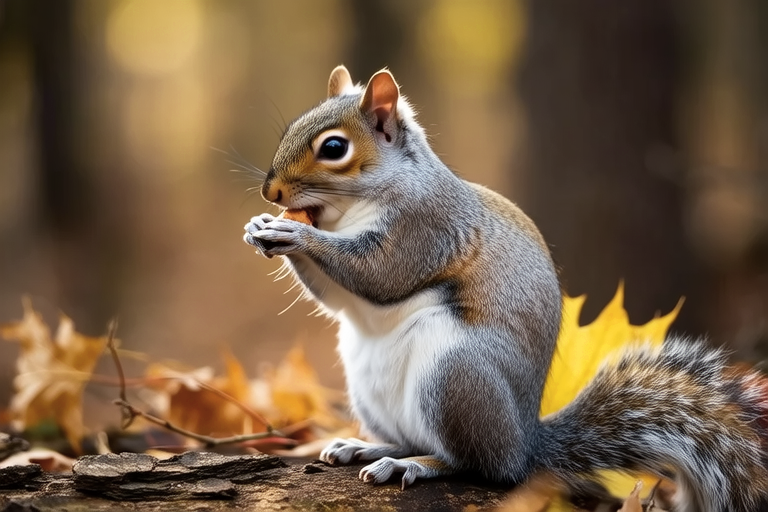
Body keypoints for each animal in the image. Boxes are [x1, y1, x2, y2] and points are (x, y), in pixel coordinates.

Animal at [243, 65, 768, 512]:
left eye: (334, 148)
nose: (271, 193)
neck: (353, 207)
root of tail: (523, 444)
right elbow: (336, 298)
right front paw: (260, 227)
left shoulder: (425, 228)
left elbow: (381, 274)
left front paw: (295, 234)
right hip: (368, 385)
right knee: (418, 439)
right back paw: (367, 447)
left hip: (454, 376)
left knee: (473, 465)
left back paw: (412, 465)